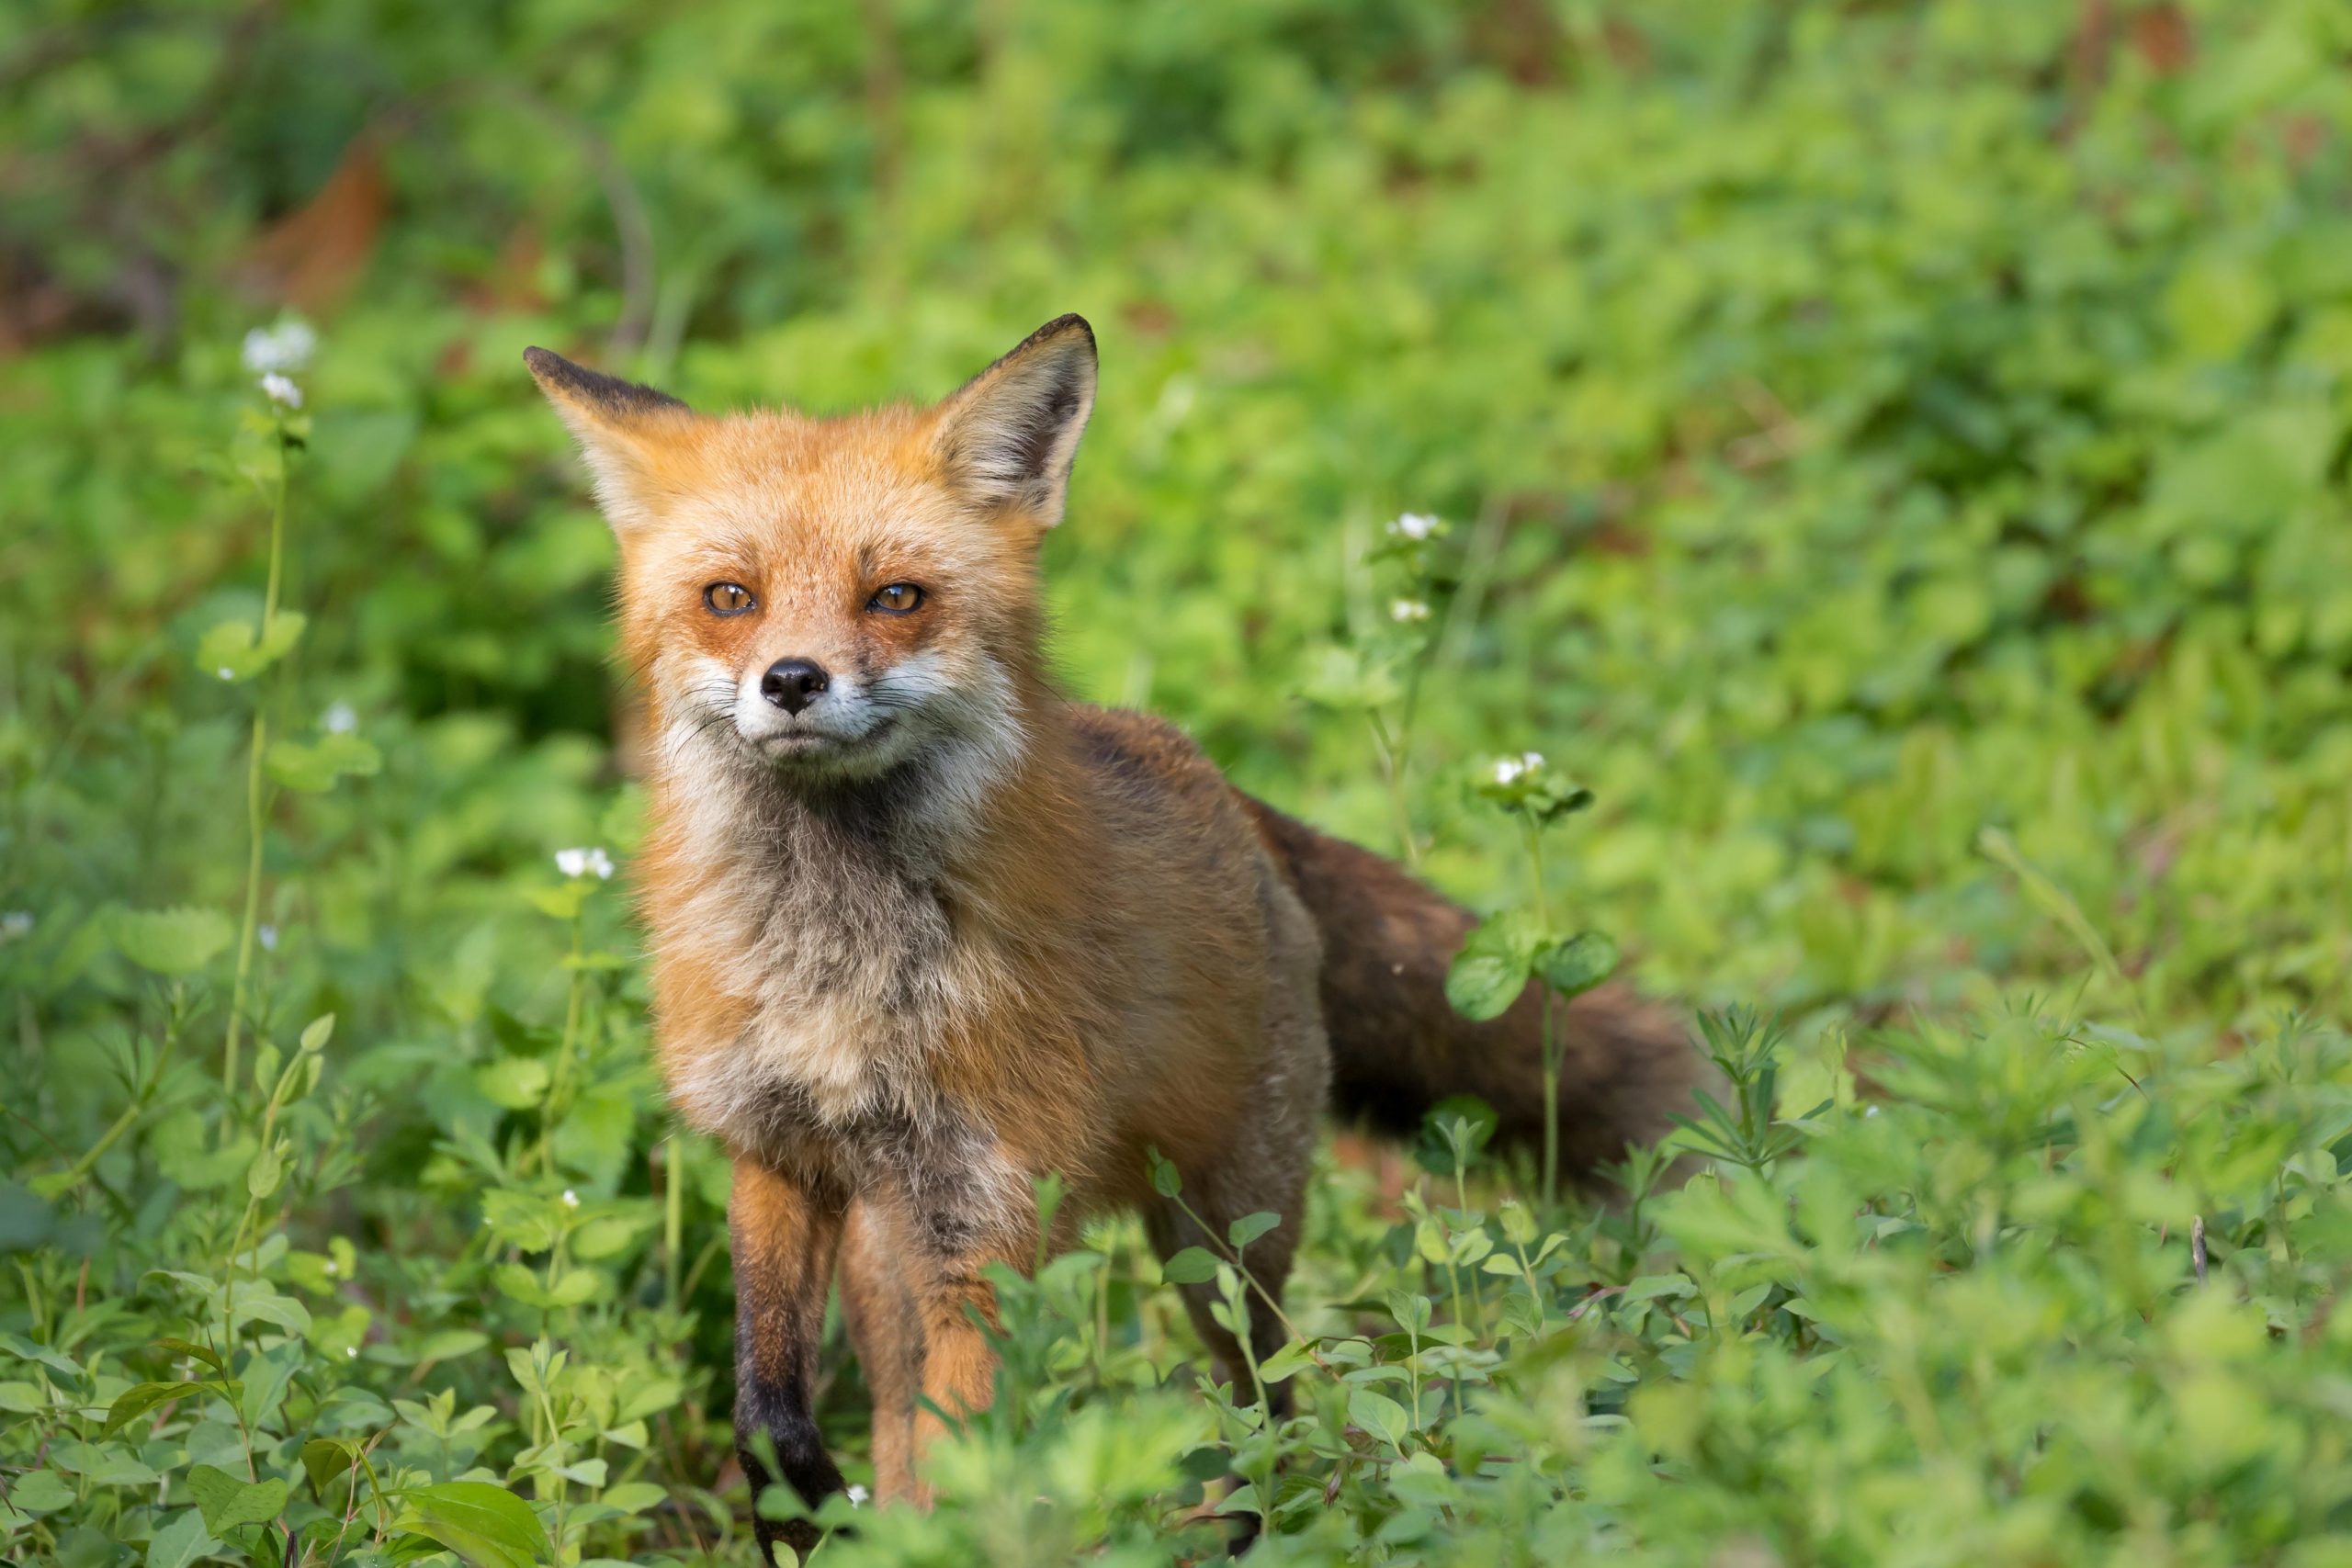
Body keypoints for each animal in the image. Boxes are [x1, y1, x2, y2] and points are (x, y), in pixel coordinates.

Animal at [531, 314, 1702, 1561]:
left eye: (895, 596)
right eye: (730, 596)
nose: (793, 679)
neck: (835, 963)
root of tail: (1223, 787)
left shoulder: (993, 1209)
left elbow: (970, 1456)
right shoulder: (777, 1154)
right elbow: (765, 1407)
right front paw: (803, 1507)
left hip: (1219, 1231)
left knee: (1267, 1400)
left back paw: (1244, 1523)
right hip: (895, 1255)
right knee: (900, 1411)